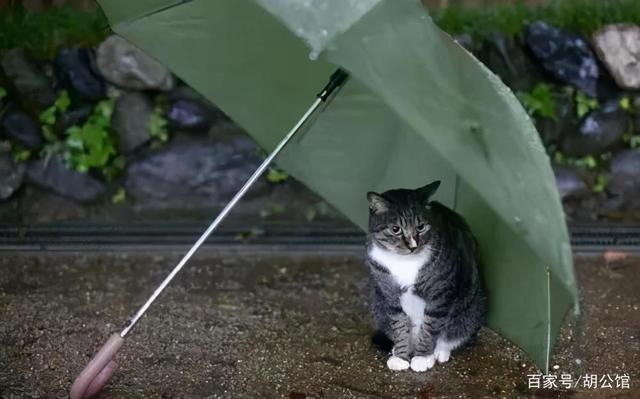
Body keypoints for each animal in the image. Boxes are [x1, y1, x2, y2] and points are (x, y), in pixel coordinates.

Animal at [364, 180, 484, 374]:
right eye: (396, 229)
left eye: (421, 227)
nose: (413, 246)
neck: (403, 262)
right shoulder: (388, 292)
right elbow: (399, 323)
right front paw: (401, 357)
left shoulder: (440, 293)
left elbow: (431, 325)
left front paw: (422, 358)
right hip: (378, 304)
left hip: (471, 309)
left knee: (453, 332)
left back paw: (440, 351)